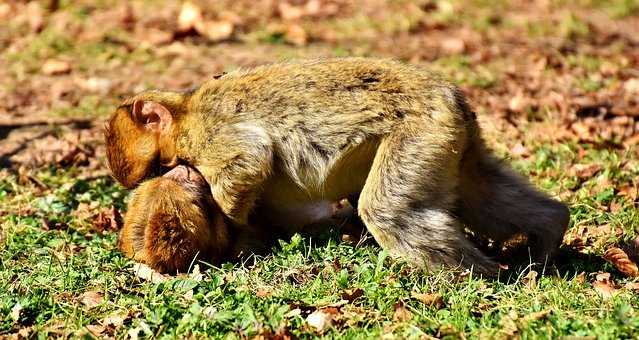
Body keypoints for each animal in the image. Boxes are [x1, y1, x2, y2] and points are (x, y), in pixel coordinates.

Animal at [105, 57, 568, 276]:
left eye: (163, 165)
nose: (181, 173)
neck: (187, 112)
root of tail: (451, 98)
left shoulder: (209, 132)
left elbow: (249, 159)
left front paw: (231, 216)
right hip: (444, 137)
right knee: (477, 192)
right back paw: (545, 232)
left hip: (422, 129)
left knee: (386, 209)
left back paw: (476, 273)